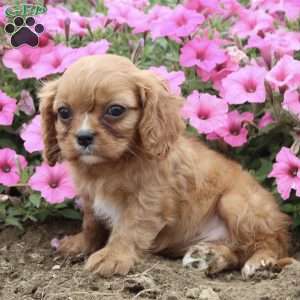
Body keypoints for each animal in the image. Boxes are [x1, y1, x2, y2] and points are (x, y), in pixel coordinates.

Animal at [38, 54, 292, 278]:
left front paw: (113, 256)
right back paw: (208, 256)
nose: (83, 137)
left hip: (235, 202)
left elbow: (129, 228)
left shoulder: (148, 200)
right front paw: (80, 244)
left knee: (269, 243)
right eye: (63, 112)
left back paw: (259, 262)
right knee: (237, 251)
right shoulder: (90, 197)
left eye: (115, 110)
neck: (110, 165)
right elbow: (92, 224)